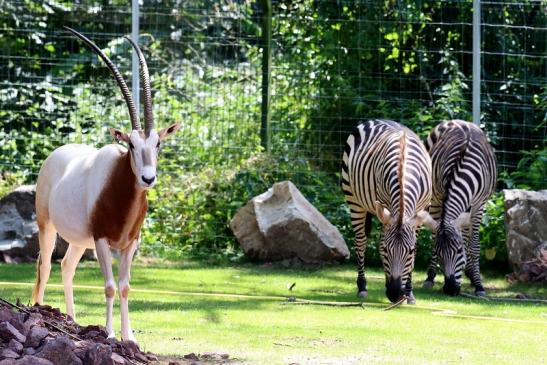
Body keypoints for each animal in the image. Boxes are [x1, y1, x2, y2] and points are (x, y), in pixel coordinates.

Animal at [342, 118, 432, 302]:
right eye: (385, 251)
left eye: (410, 251)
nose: (394, 294)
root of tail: (375, 119)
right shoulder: (384, 205)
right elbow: (380, 241)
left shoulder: (421, 211)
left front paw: (409, 293)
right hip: (353, 199)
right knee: (361, 242)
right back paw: (362, 287)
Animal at [422, 119, 498, 296]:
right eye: (440, 254)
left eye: (458, 252)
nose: (450, 290)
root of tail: (456, 121)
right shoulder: (440, 197)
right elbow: (435, 239)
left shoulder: (479, 205)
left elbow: (474, 246)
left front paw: (478, 285)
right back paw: (430, 277)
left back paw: (471, 274)